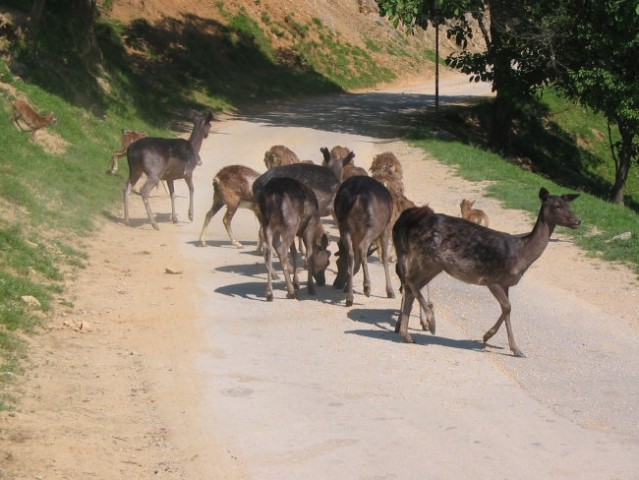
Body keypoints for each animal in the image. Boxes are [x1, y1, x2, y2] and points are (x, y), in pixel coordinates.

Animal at [332, 174, 398, 306]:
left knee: (351, 253)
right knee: (362, 247)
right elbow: (384, 257)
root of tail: (357, 196)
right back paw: (367, 288)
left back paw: (350, 297)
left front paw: (347, 287)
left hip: (344, 225)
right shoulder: (387, 227)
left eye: (338, 262)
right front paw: (390, 291)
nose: (336, 284)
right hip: (374, 225)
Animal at [392, 188, 584, 356]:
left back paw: (407, 334)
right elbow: (507, 307)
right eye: (557, 205)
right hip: (429, 257)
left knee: (411, 285)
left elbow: (507, 311)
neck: (522, 255)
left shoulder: (506, 284)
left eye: (569, 205)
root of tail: (409, 220)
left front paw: (515, 349)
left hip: (434, 264)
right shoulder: (492, 278)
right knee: (410, 281)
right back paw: (430, 324)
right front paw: (488, 336)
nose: (578, 221)